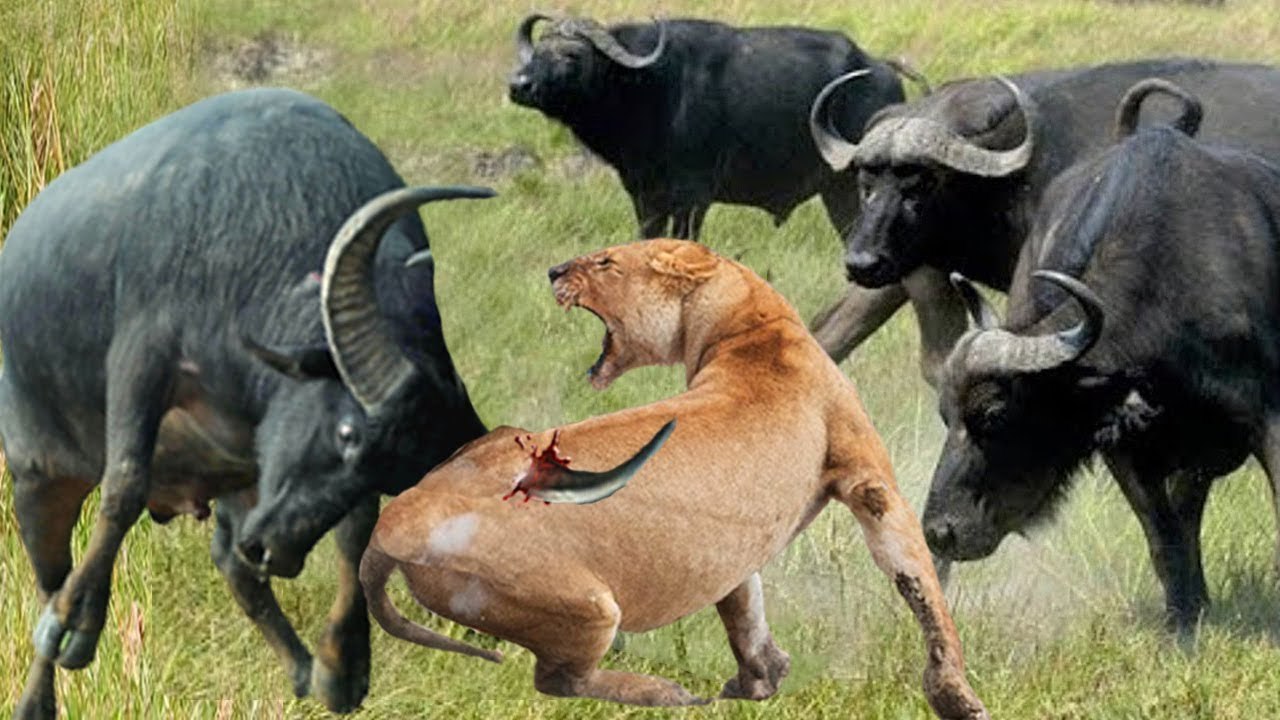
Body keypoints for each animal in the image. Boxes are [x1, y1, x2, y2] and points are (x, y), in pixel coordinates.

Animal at [359, 239, 988, 718]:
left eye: (607, 261)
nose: (555, 271)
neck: (752, 327)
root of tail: (393, 524)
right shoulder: (870, 484)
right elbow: (919, 583)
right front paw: (956, 697)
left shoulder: (739, 538)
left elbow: (743, 602)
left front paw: (763, 678)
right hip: (587, 604)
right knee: (559, 680)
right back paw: (666, 693)